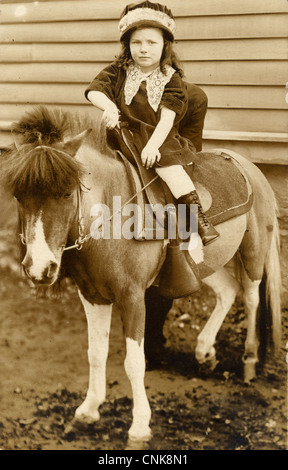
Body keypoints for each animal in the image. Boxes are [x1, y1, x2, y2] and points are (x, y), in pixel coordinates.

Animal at [1, 106, 282, 444]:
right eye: (19, 196)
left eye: (67, 193)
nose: (39, 268)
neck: (112, 214)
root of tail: (248, 166)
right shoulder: (92, 296)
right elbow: (96, 353)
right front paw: (87, 411)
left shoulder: (132, 297)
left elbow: (134, 361)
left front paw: (139, 426)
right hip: (201, 266)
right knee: (227, 291)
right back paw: (205, 351)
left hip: (253, 251)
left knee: (252, 298)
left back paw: (249, 363)